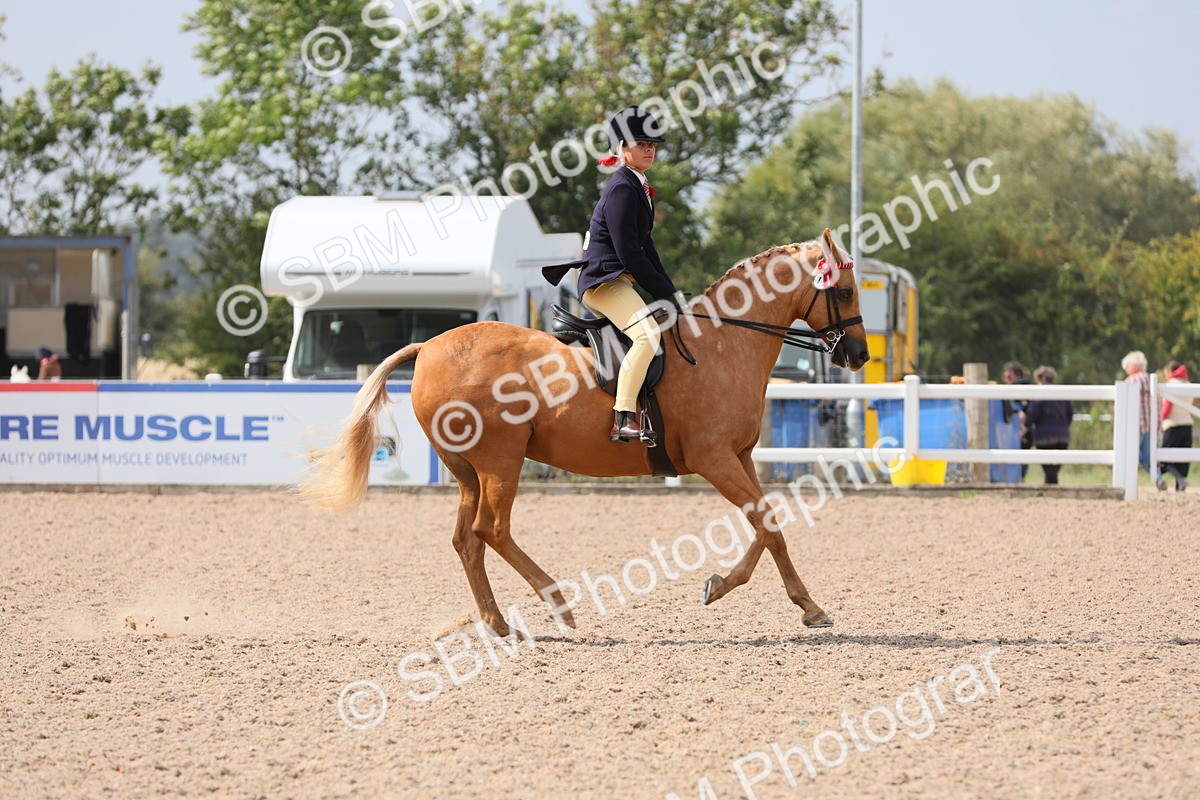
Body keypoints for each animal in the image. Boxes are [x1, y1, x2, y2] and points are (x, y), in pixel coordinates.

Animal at [303, 229, 870, 634]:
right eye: (843, 291)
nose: (859, 355)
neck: (724, 344)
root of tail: (429, 347)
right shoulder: (714, 460)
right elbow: (767, 524)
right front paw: (804, 606)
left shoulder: (741, 457)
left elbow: (766, 525)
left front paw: (733, 588)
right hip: (501, 463)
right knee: (492, 531)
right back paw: (560, 606)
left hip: (468, 472)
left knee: (467, 540)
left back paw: (498, 623)